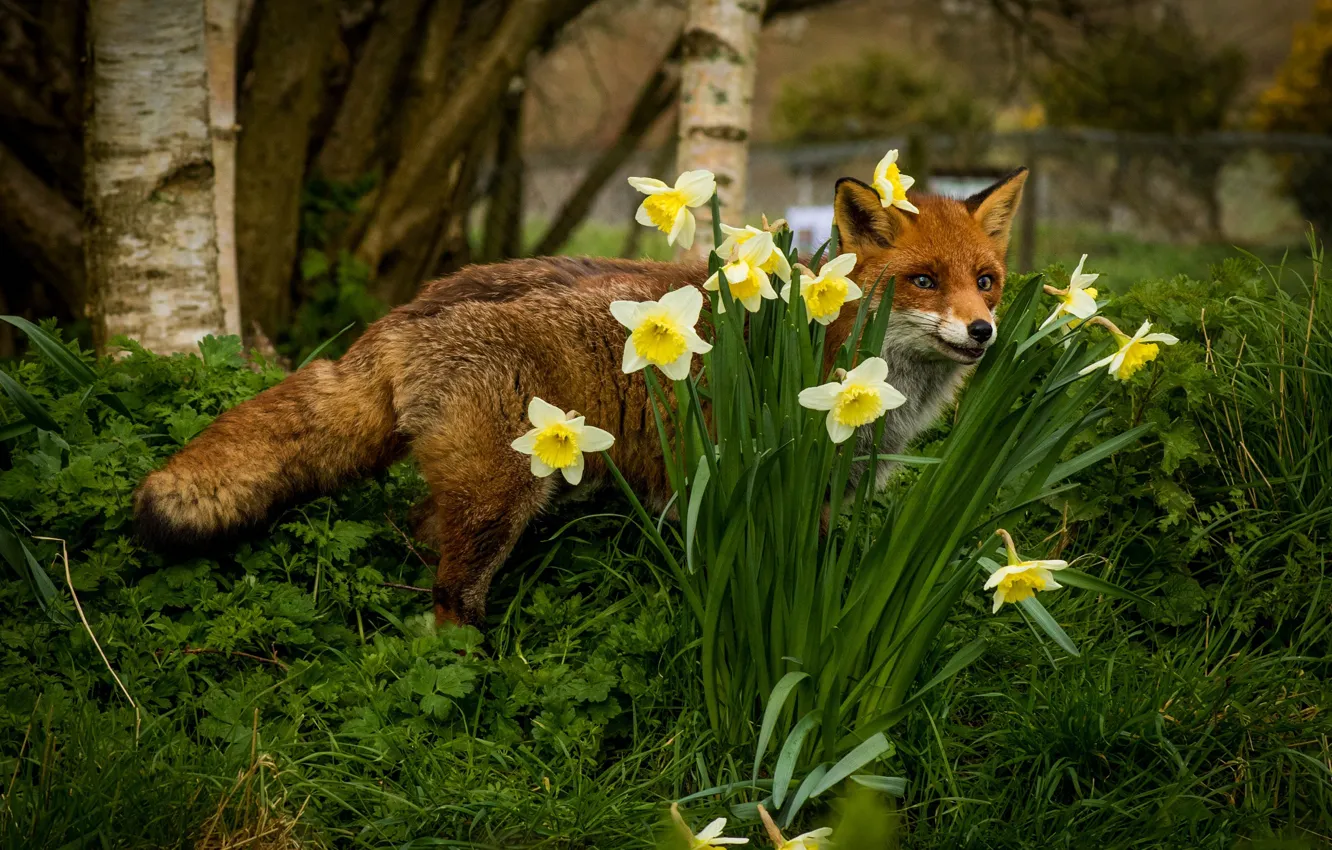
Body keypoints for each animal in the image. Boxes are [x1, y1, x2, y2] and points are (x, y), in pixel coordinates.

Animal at [134, 168, 1027, 626]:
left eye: (985, 280)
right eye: (923, 281)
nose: (982, 332)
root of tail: (412, 308)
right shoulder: (764, 490)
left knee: (415, 534)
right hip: (502, 498)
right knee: (452, 592)